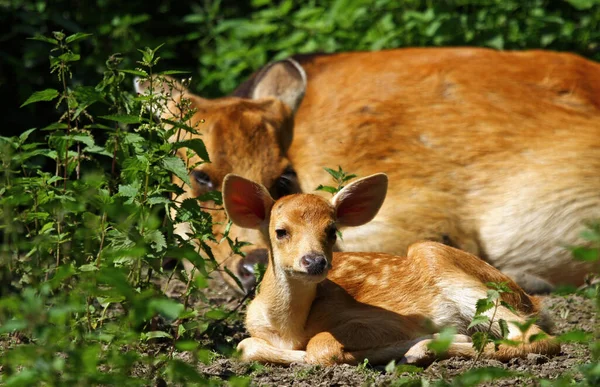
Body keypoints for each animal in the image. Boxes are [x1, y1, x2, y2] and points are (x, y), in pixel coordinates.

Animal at [223, 174, 560, 368]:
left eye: (331, 230)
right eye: (280, 231)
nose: (315, 261)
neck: (288, 330)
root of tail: (532, 301)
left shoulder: (386, 318)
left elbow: (320, 346)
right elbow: (244, 346)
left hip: (443, 263)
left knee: (539, 338)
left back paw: (424, 349)